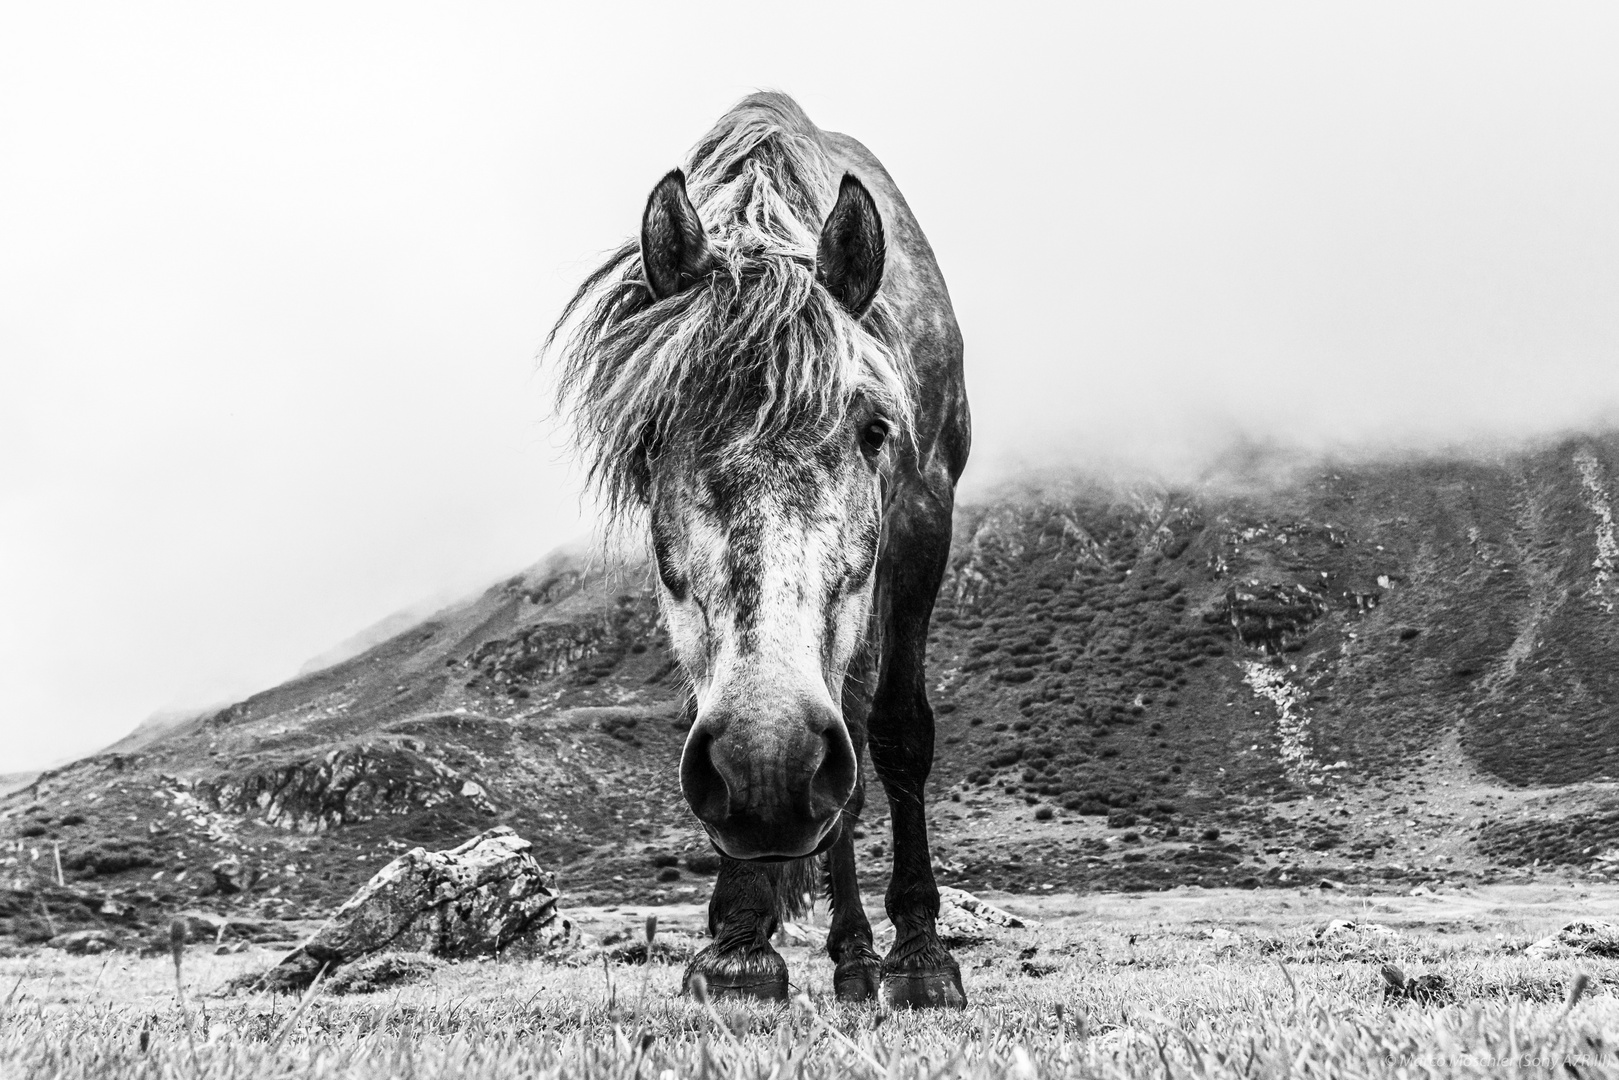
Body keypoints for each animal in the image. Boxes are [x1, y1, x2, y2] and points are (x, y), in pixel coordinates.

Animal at [550, 93, 964, 1016]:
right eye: (649, 439)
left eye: (874, 430)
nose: (768, 770)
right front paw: (740, 943)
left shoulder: (924, 516)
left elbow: (901, 732)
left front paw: (923, 955)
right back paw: (849, 959)